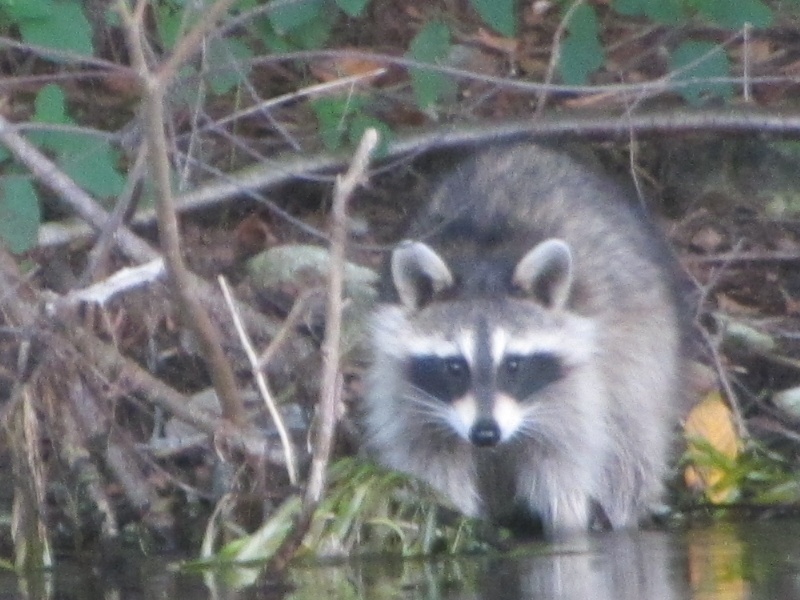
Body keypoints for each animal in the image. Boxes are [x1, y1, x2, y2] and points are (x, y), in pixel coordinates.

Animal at [362, 144, 688, 536]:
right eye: (455, 366)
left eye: (513, 364)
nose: (485, 434)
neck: (482, 263)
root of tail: (526, 149)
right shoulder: (406, 388)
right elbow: (430, 458)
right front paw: (454, 519)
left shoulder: (577, 385)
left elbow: (564, 465)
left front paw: (568, 526)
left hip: (643, 345)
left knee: (632, 437)